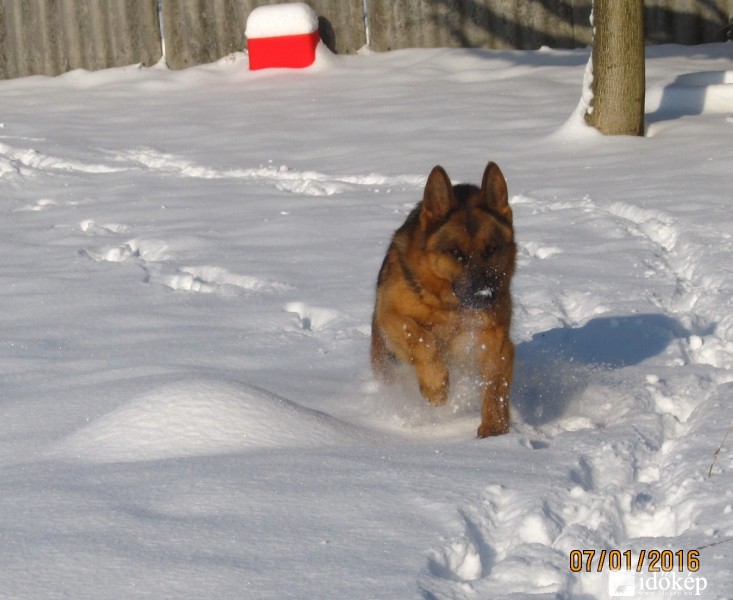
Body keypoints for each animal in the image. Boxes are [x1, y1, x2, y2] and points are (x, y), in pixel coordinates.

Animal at [372, 162, 516, 438]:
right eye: (456, 253)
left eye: (491, 250)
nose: (484, 295)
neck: (449, 306)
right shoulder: (392, 315)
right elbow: (421, 338)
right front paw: (436, 386)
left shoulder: (495, 340)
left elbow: (494, 385)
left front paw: (494, 430)